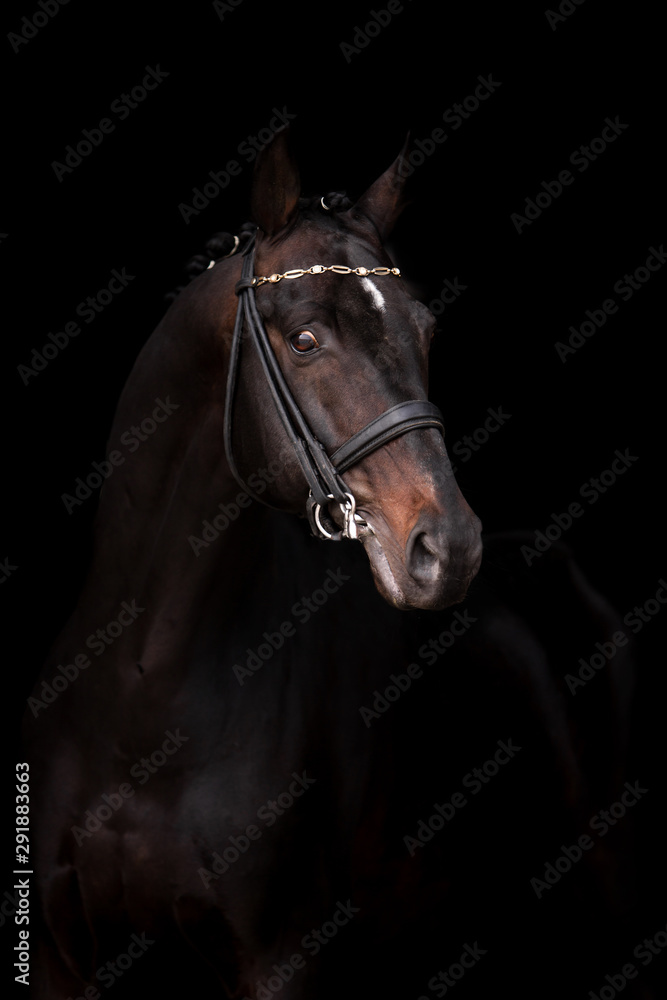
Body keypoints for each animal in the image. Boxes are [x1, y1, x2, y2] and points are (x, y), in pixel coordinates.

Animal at [24, 131, 648, 999]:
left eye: (425, 331)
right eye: (305, 340)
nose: (447, 549)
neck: (142, 687)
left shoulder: (281, 957)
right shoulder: (59, 955)